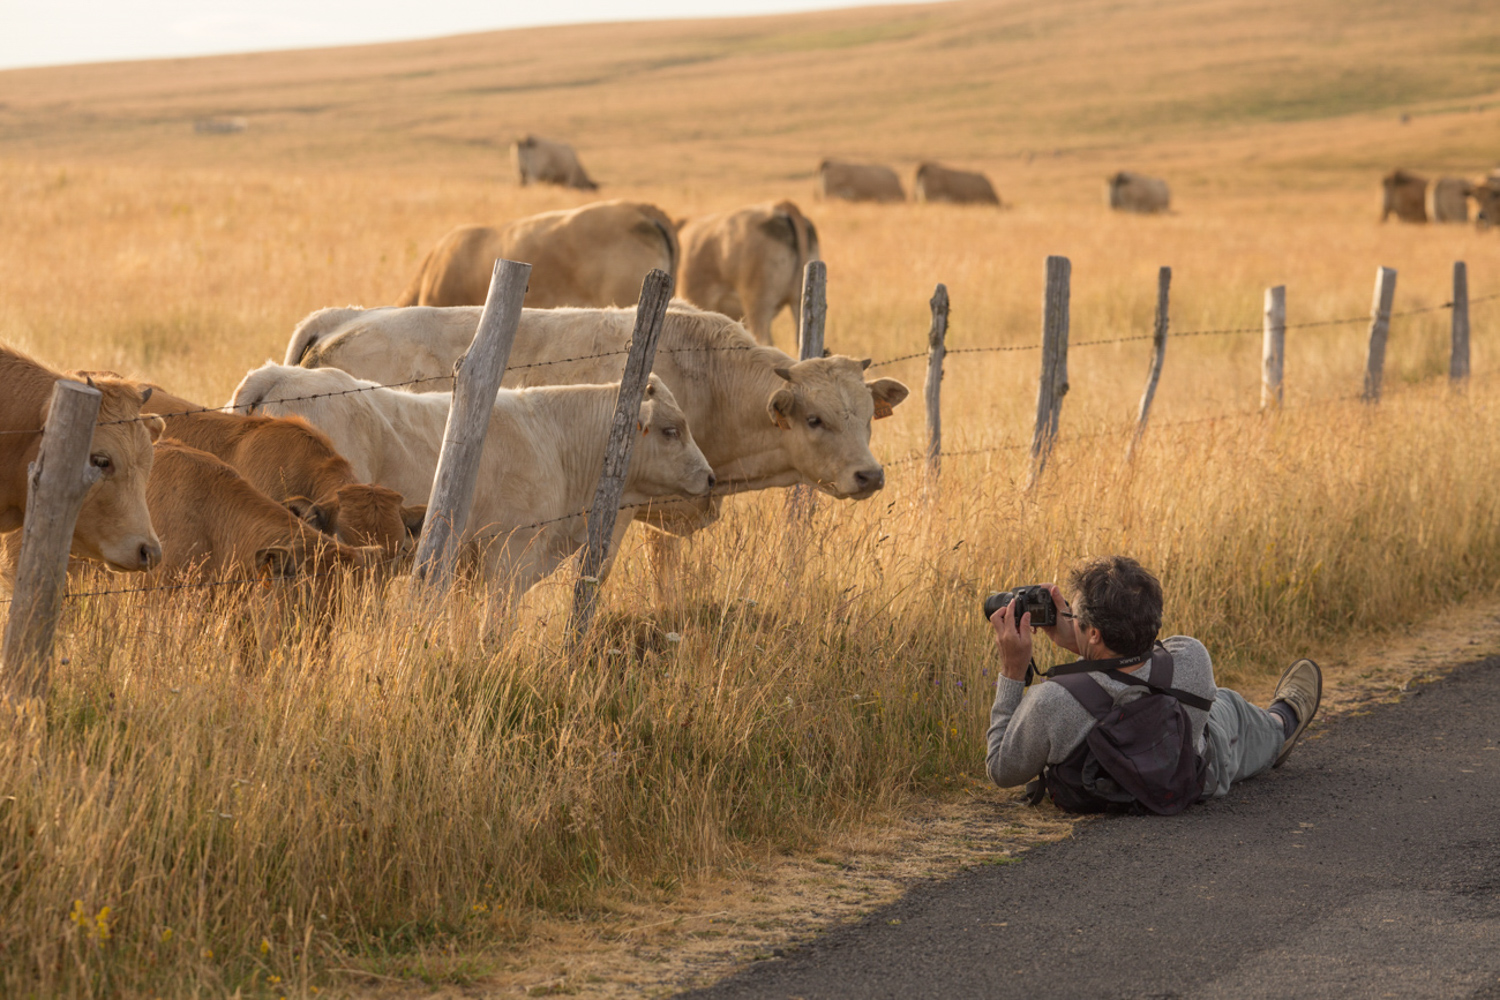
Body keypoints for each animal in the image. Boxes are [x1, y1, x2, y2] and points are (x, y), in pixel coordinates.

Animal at [228, 367, 714, 602]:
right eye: (671, 430)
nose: (709, 478)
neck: (555, 440)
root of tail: (279, 373)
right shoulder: (510, 559)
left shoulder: (467, 568)